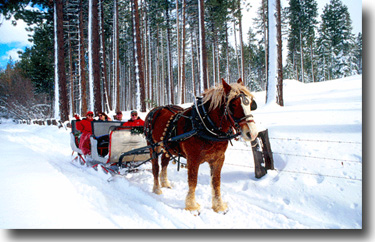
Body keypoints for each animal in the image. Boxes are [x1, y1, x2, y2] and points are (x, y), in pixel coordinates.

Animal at [145, 78, 258, 213]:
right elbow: (193, 181)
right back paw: (157, 189)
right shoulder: (193, 159)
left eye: (250, 103)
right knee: (155, 167)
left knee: (164, 162)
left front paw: (219, 206)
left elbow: (216, 182)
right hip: (153, 146)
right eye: (233, 105)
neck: (205, 125)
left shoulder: (219, 158)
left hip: (168, 147)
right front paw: (192, 206)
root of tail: (155, 109)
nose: (252, 133)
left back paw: (165, 183)